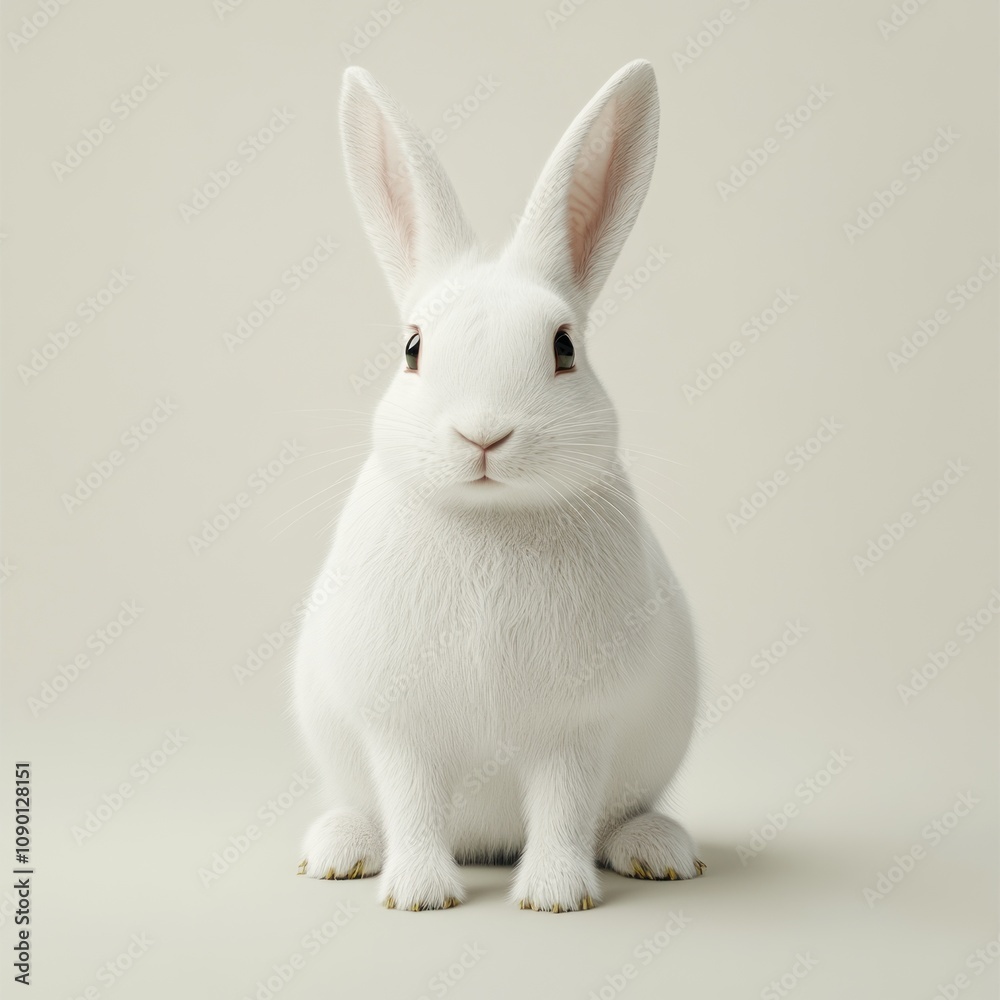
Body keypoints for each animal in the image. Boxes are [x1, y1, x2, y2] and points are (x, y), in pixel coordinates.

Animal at [292, 58, 702, 913]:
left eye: (564, 347)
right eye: (413, 348)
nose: (484, 435)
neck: (489, 521)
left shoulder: (576, 729)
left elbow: (563, 808)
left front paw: (554, 897)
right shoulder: (402, 727)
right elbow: (413, 805)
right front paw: (420, 896)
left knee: (616, 817)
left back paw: (659, 851)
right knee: (368, 811)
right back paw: (339, 851)